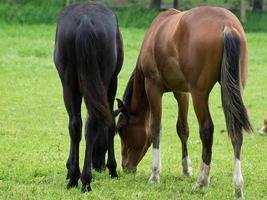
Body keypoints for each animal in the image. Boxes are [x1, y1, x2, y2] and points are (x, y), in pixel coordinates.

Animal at [53, 1, 124, 192]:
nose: (98, 165)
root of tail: (85, 20)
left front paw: (69, 168)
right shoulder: (113, 82)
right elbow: (110, 123)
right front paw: (113, 168)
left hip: (69, 83)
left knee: (75, 125)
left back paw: (74, 178)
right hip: (104, 80)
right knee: (91, 124)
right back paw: (86, 180)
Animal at [116, 6, 253, 198]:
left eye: (121, 131)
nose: (125, 166)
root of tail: (227, 26)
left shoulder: (153, 87)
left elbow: (155, 128)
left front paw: (155, 174)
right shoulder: (181, 92)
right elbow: (182, 129)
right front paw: (186, 169)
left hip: (199, 94)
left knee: (207, 130)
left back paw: (202, 181)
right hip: (234, 89)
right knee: (236, 133)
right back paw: (238, 187)